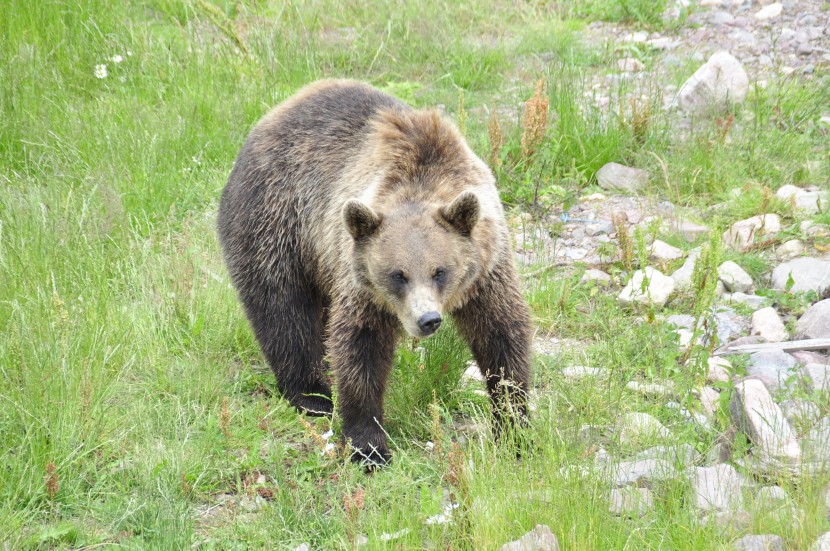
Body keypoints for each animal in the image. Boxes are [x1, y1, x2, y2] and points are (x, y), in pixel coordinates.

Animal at [219, 78, 532, 466]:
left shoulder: (487, 269)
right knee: (283, 309)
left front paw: (514, 428)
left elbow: (502, 335)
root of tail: (271, 117)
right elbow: (360, 347)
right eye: (398, 274)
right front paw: (368, 447)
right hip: (276, 220)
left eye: (440, 271)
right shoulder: (363, 282)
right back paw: (312, 395)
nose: (428, 319)